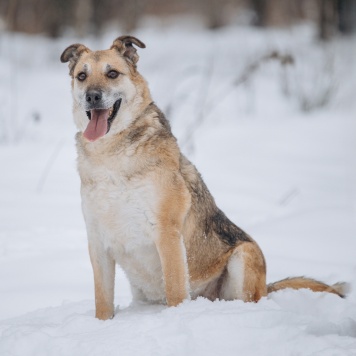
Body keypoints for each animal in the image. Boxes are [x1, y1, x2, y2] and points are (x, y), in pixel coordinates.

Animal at [59, 36, 346, 320]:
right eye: (82, 76)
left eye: (112, 73)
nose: (92, 96)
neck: (111, 155)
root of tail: (266, 288)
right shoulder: (98, 243)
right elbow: (103, 302)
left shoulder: (166, 233)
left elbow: (175, 290)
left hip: (244, 255)